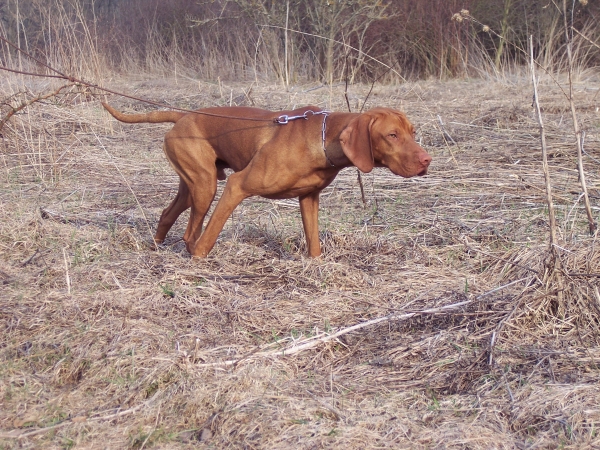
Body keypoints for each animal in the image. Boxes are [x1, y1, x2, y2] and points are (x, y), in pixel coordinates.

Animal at [102, 103, 431, 257]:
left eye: (413, 132)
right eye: (392, 135)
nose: (427, 160)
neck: (323, 139)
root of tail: (182, 116)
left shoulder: (308, 199)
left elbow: (314, 243)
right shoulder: (237, 185)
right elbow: (209, 237)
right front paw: (200, 261)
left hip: (193, 184)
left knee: (167, 214)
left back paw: (155, 248)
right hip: (206, 186)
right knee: (190, 234)